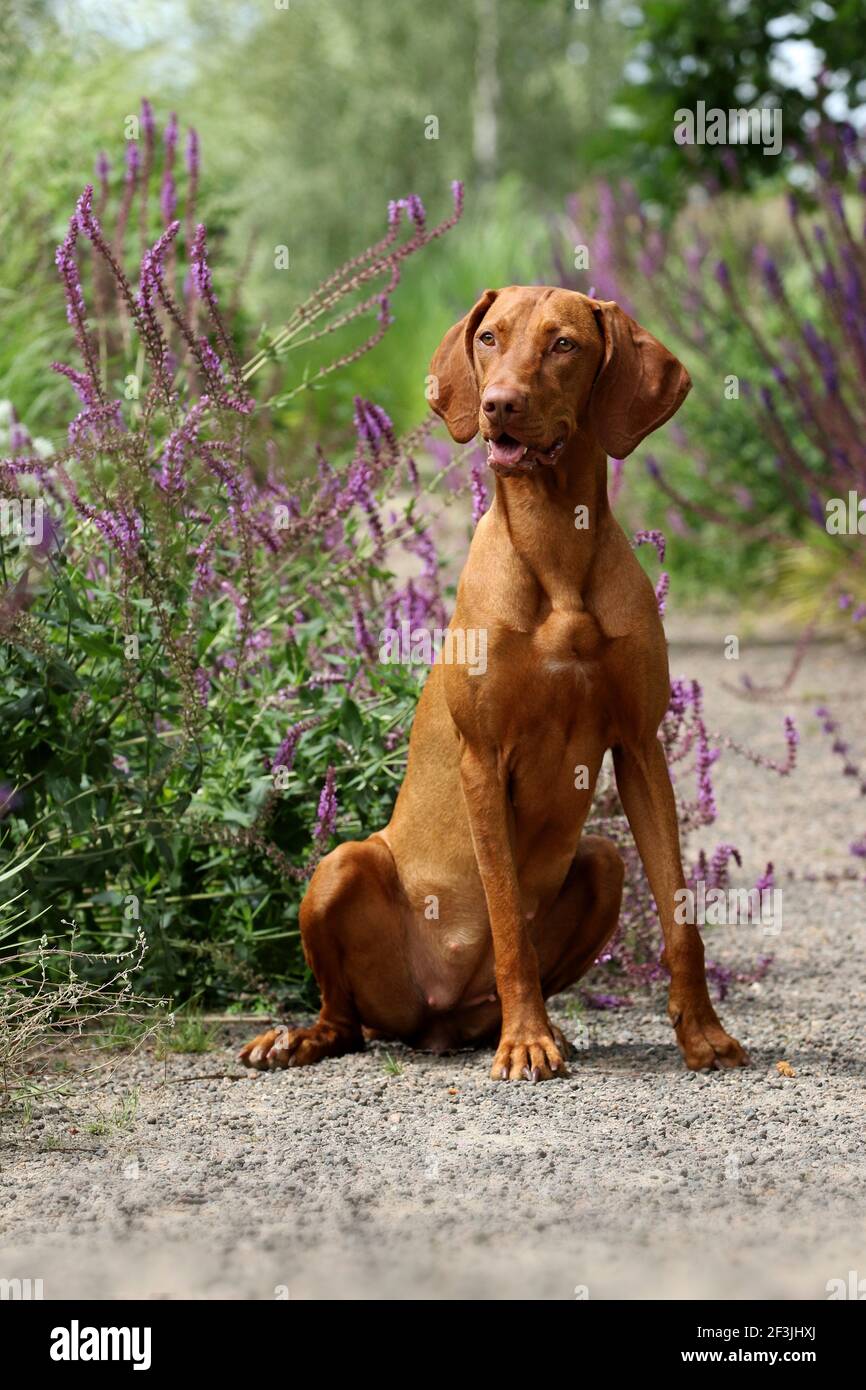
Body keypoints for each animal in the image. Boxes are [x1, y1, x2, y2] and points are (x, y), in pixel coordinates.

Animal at [240, 287, 750, 1078]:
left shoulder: (641, 748)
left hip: (601, 862)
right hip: (341, 866)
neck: (556, 544)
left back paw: (530, 1027)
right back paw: (299, 1037)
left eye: (564, 344)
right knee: (345, 1018)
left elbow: (681, 914)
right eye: (489, 338)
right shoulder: (484, 759)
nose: (499, 404)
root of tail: (432, 1022)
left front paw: (702, 1033)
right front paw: (527, 1044)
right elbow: (508, 918)